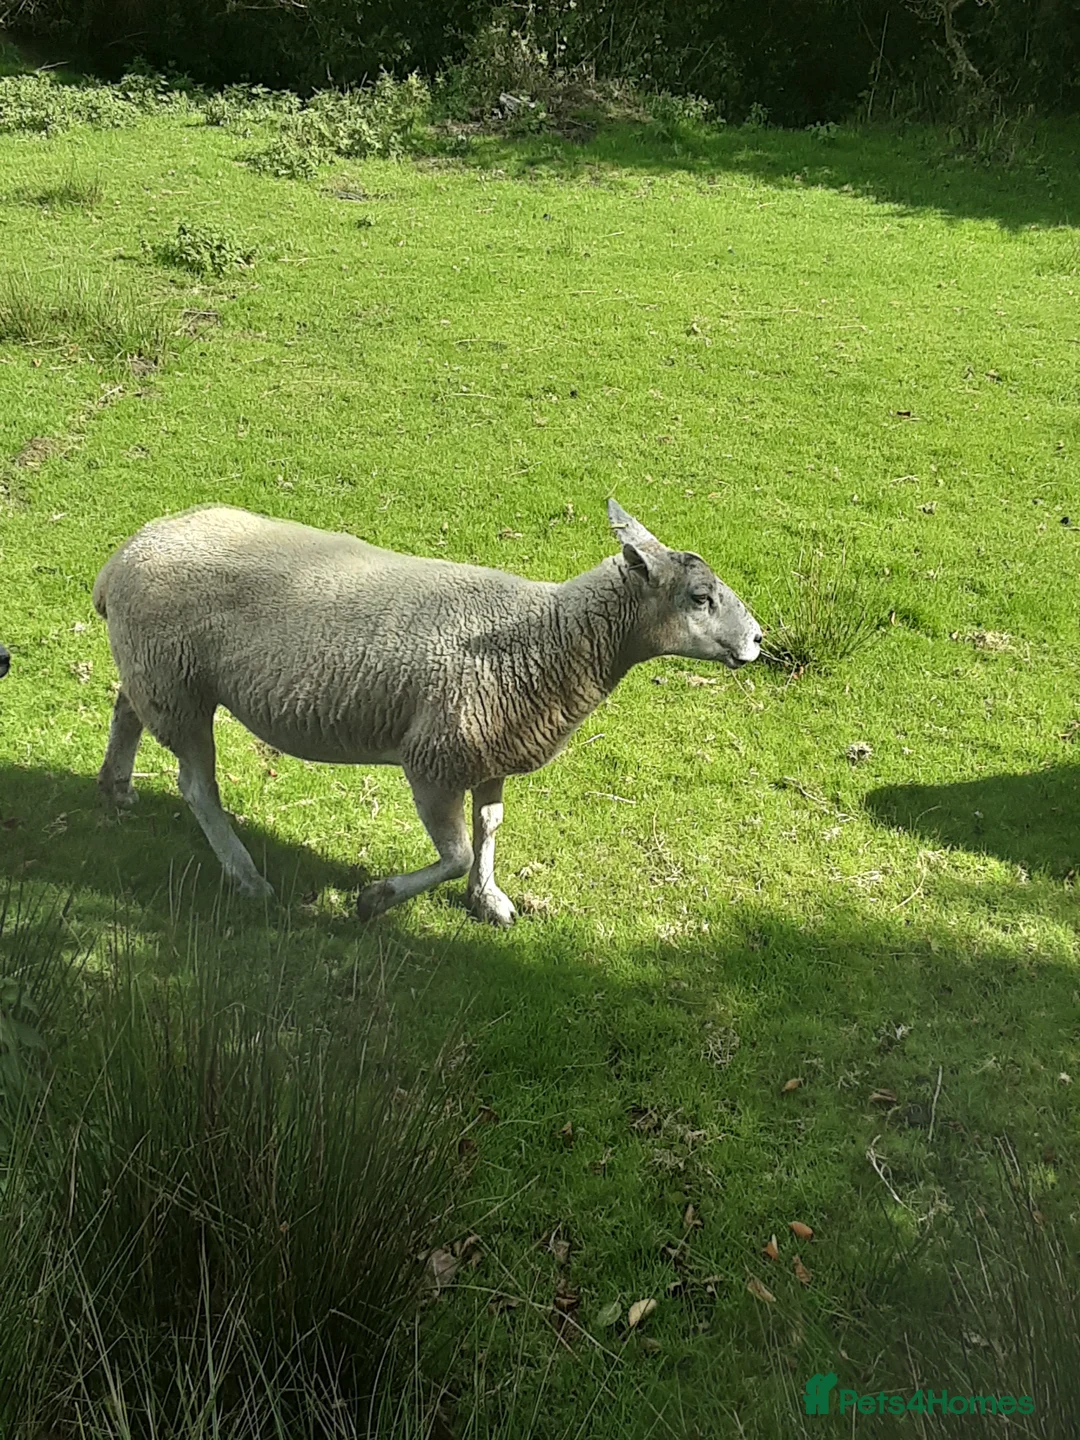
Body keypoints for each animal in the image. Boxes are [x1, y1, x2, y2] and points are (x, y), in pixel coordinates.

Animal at [92, 499, 761, 926]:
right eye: (700, 598)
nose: (757, 641)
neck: (548, 637)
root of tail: (123, 556)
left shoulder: (492, 753)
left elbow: (489, 829)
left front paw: (489, 900)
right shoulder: (435, 761)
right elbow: (457, 852)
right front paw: (376, 899)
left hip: (153, 672)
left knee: (125, 706)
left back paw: (116, 785)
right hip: (177, 685)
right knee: (197, 786)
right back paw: (246, 876)